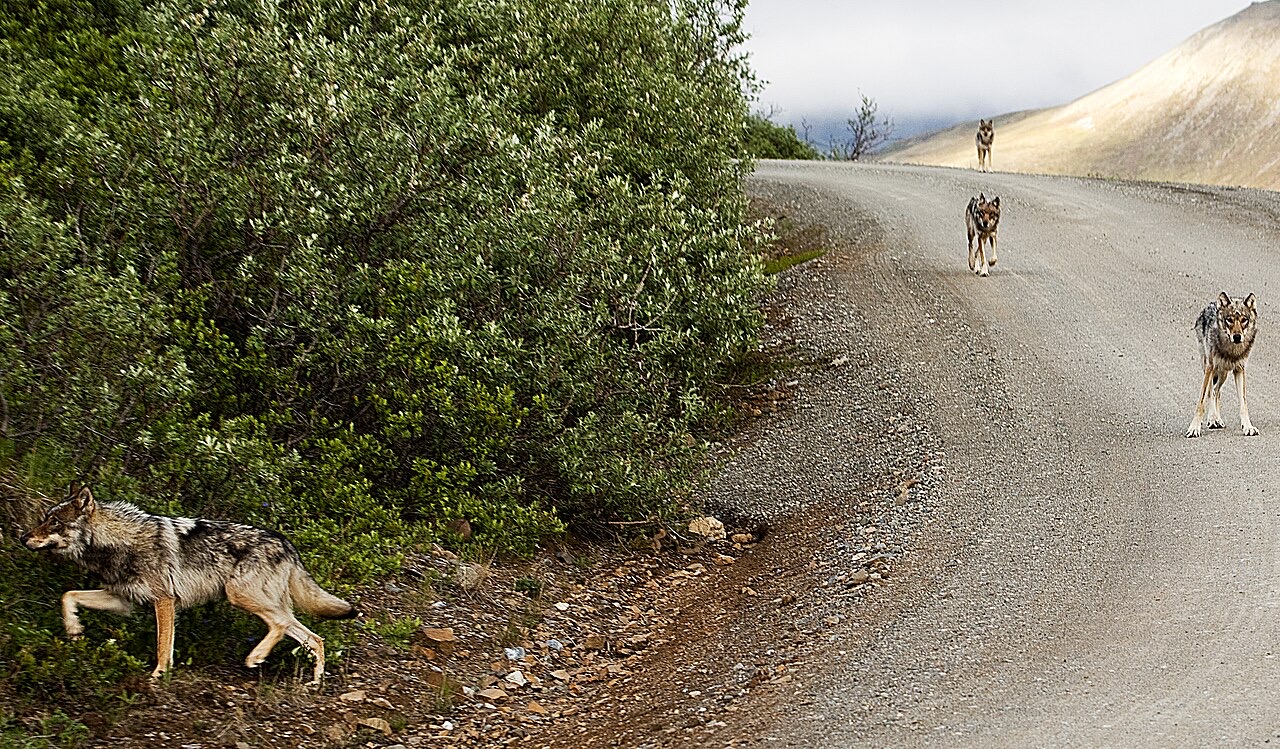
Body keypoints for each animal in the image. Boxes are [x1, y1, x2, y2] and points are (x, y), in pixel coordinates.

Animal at [20, 486, 356, 683]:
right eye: (44, 518)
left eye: (54, 523)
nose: (23, 538)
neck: (116, 544)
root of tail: (287, 543)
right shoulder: (123, 599)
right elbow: (68, 595)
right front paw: (74, 630)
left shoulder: (164, 600)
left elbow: (162, 646)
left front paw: (159, 675)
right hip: (260, 601)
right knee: (313, 638)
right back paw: (314, 682)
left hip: (239, 595)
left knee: (282, 625)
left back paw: (256, 657)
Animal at [1186, 292, 1259, 438]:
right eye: (1229, 319)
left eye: (1244, 320)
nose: (1237, 337)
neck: (1231, 351)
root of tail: (1212, 303)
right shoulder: (1210, 367)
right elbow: (1201, 401)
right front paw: (1194, 428)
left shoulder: (1240, 369)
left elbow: (1243, 404)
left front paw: (1248, 427)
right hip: (1209, 368)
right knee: (1211, 392)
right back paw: (1212, 419)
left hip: (1223, 373)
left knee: (1216, 392)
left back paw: (1216, 419)